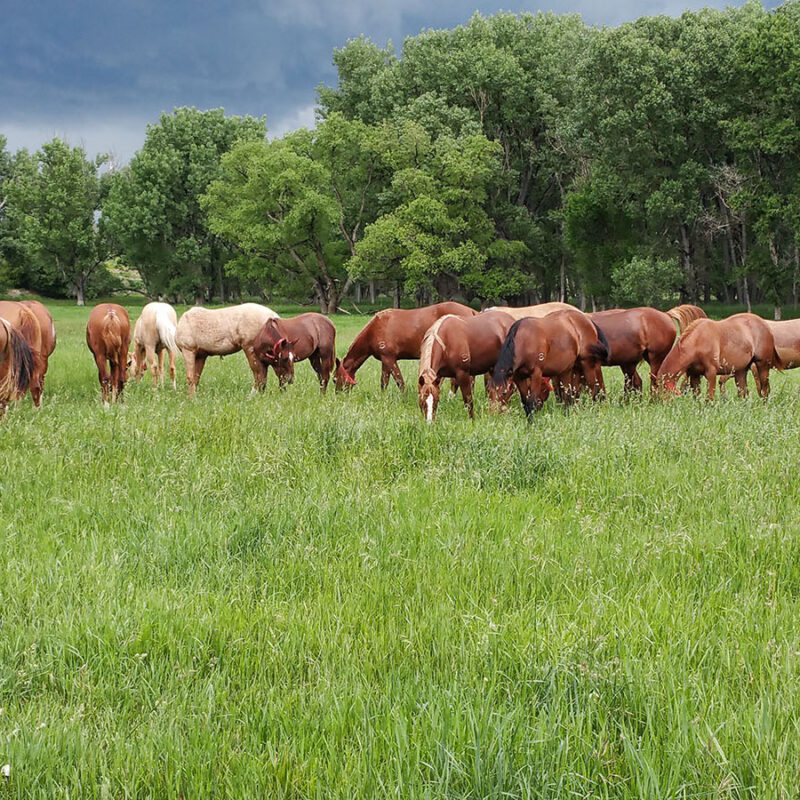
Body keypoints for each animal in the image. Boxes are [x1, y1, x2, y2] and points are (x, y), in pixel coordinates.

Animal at [332, 300, 476, 390]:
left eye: (334, 379)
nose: (338, 395)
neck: (375, 329)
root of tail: (471, 311)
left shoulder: (390, 358)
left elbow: (399, 382)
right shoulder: (385, 360)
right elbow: (384, 382)